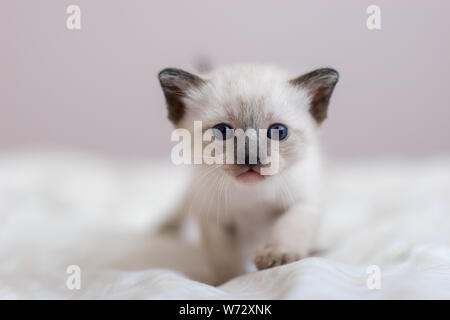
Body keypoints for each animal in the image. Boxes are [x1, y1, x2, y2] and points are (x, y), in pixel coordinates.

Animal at [158, 63, 338, 284]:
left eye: (278, 131)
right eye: (222, 131)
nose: (252, 158)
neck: (252, 195)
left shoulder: (303, 203)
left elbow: (288, 227)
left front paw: (276, 256)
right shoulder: (213, 217)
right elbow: (224, 258)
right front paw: (230, 281)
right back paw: (166, 227)